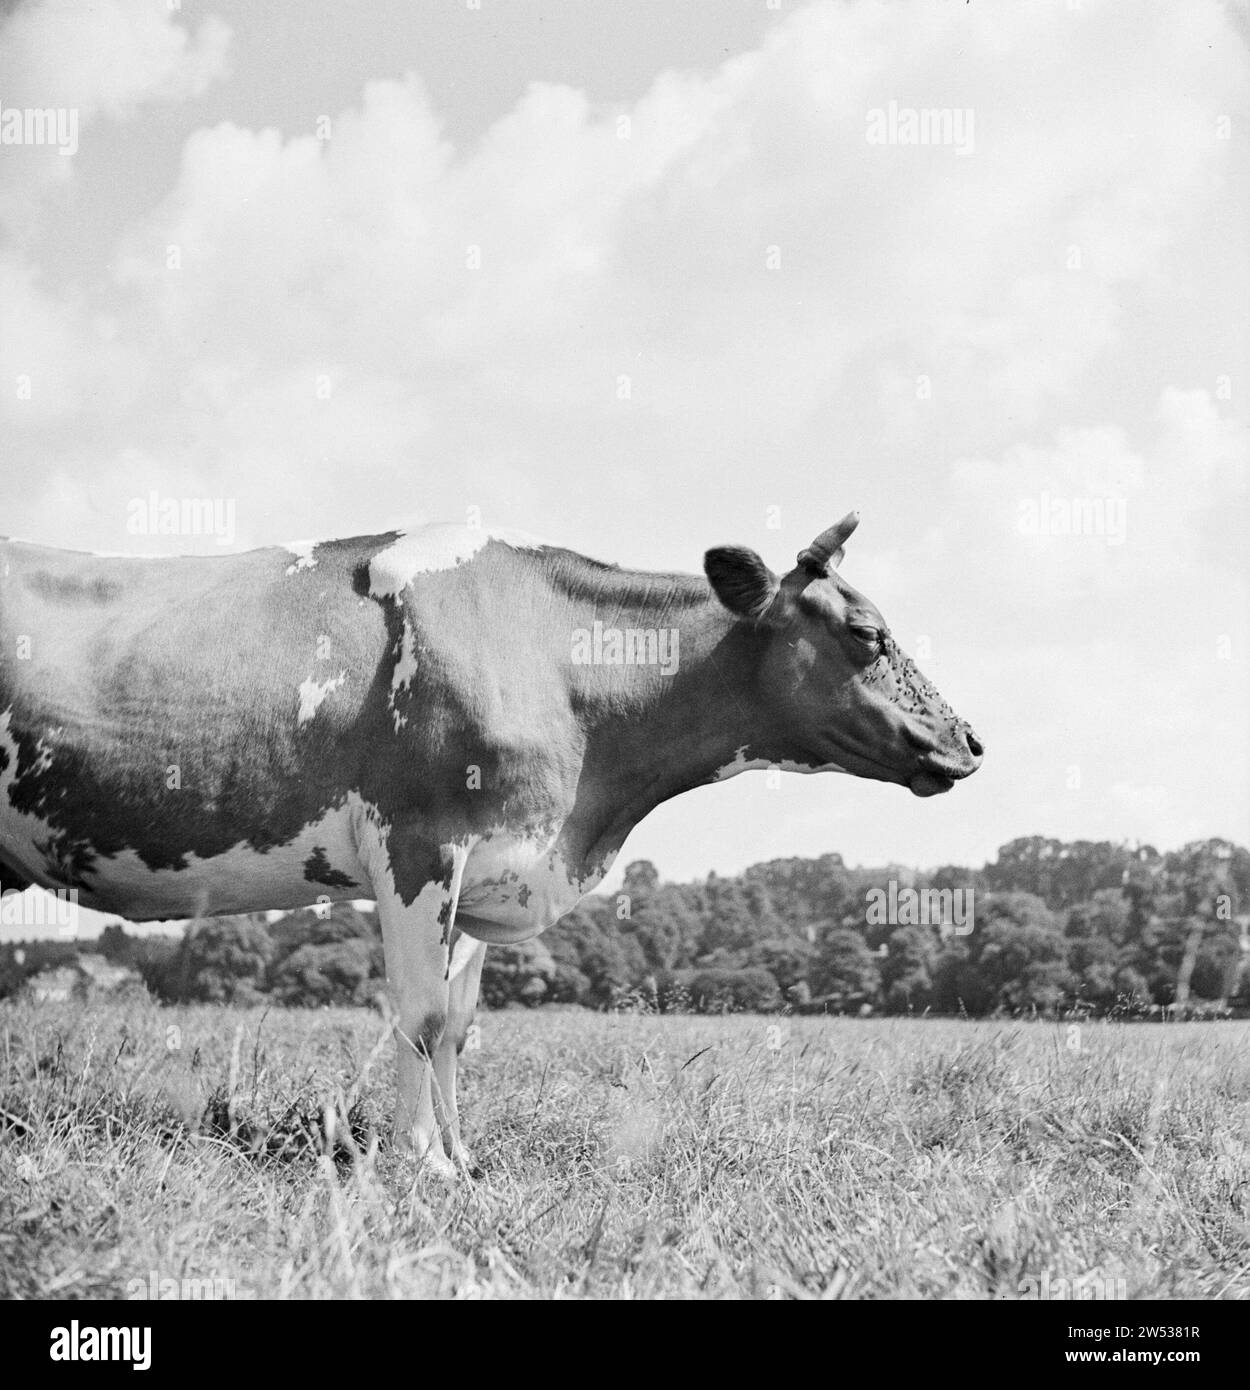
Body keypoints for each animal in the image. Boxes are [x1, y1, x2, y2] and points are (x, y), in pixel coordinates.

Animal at [0, 512, 981, 1176]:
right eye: (867, 633)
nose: (969, 739)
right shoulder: (418, 844)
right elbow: (420, 1015)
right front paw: (423, 1165)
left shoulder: (485, 871)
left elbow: (458, 1027)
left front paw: (461, 1158)